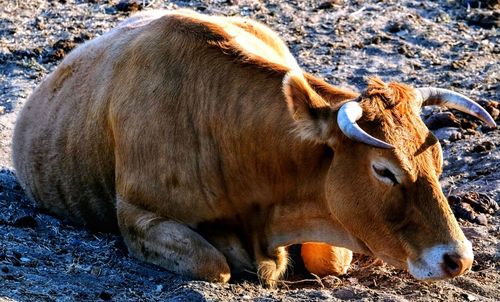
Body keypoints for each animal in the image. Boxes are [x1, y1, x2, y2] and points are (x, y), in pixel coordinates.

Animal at [12, 10, 496, 288]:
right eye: (384, 170)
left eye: (437, 162)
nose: (460, 259)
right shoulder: (135, 212)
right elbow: (214, 264)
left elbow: (329, 260)